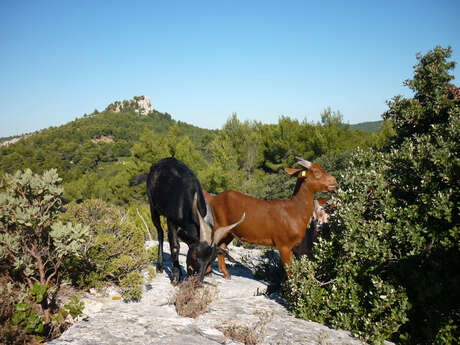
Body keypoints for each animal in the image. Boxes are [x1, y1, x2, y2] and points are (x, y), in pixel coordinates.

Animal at [204, 157, 334, 278]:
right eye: (316, 172)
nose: (334, 180)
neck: (294, 210)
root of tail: (213, 198)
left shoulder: (293, 247)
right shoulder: (283, 244)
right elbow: (289, 271)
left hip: (230, 231)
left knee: (221, 246)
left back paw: (226, 274)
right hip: (217, 225)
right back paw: (209, 273)